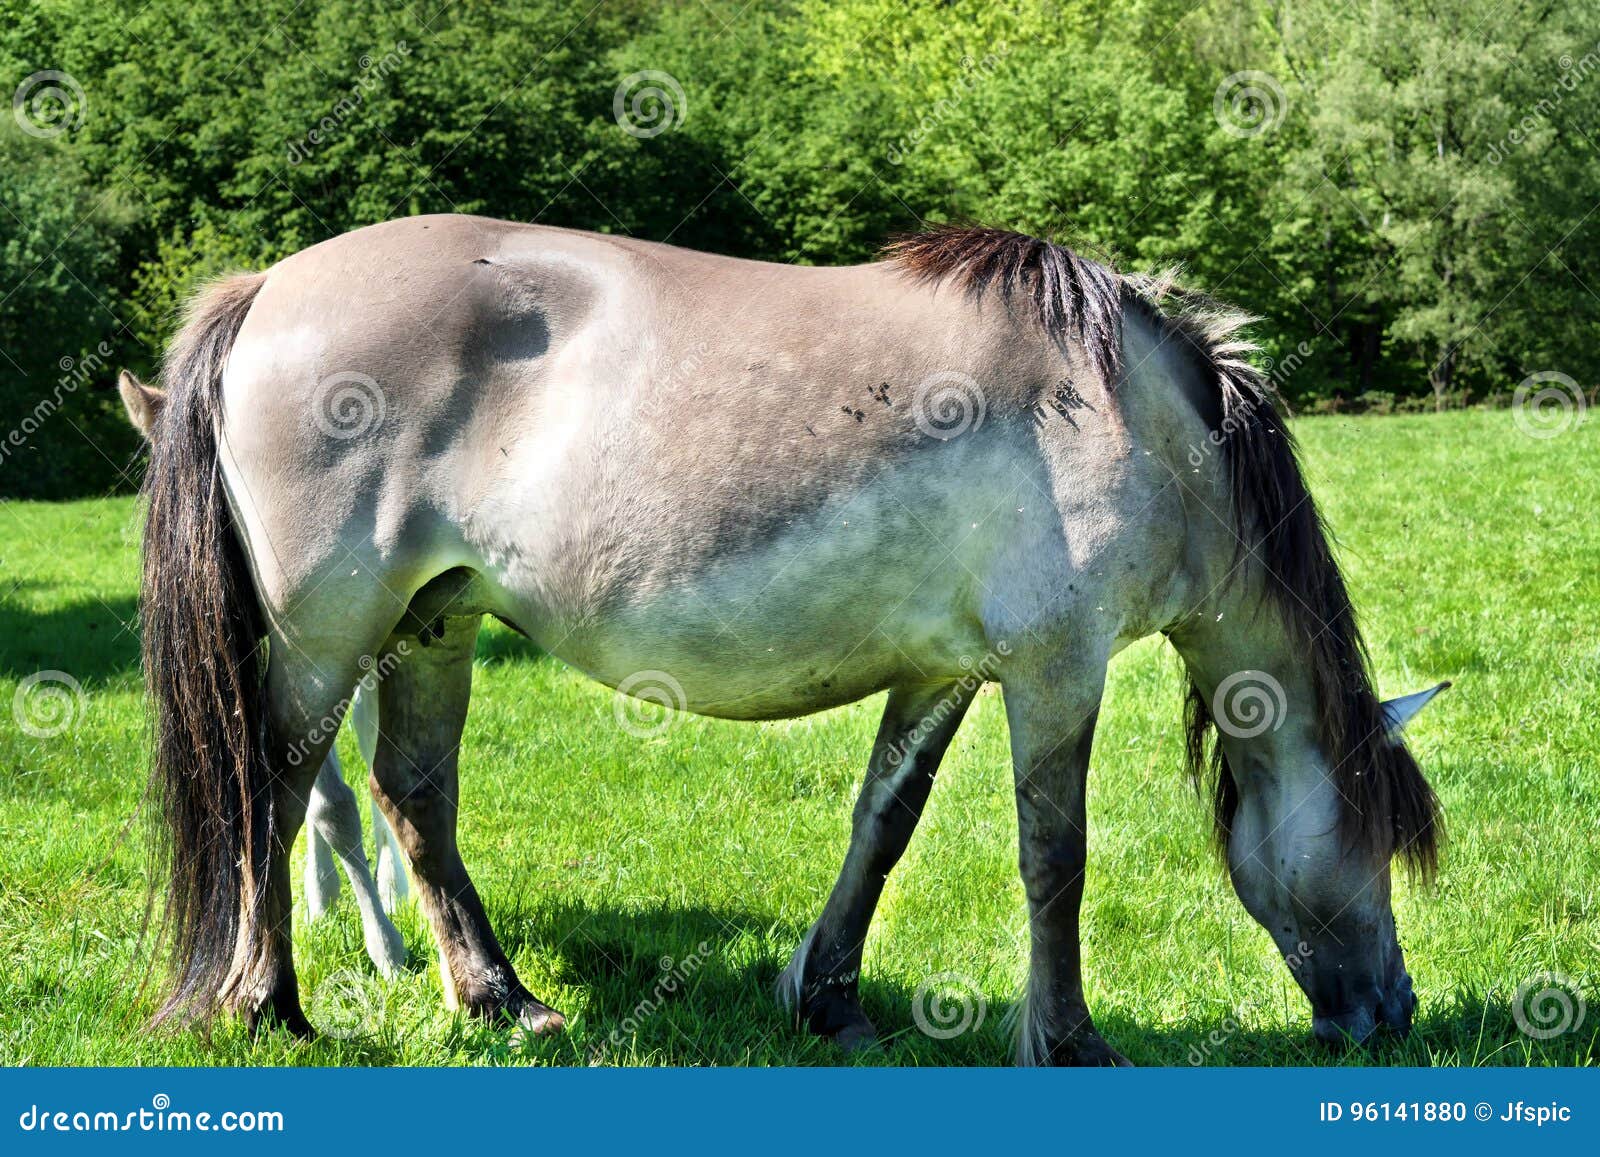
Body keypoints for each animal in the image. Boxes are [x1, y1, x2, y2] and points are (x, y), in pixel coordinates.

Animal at [137, 219, 1446, 1068]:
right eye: (1377, 837)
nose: (1392, 1011)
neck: (1133, 413)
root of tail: (267, 287)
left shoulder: (940, 671)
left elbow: (883, 822)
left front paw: (828, 998)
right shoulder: (1055, 668)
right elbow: (1055, 857)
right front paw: (1069, 1039)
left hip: (432, 623)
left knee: (413, 796)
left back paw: (500, 1000)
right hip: (328, 639)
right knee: (273, 791)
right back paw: (267, 1006)